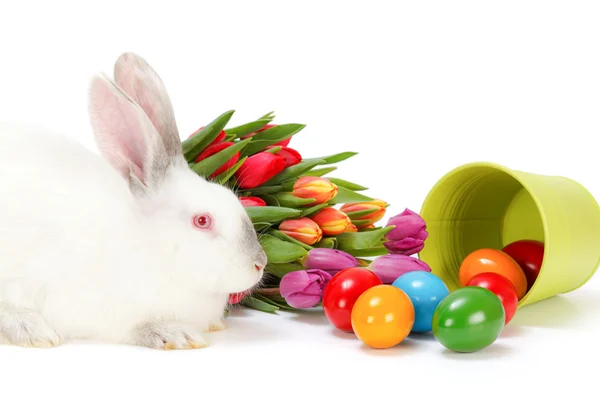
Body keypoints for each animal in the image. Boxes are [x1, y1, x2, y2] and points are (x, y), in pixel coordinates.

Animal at [0, 51, 264, 348]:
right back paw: (33, 331)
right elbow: (137, 327)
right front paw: (175, 334)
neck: (149, 246)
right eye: (202, 221)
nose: (260, 264)